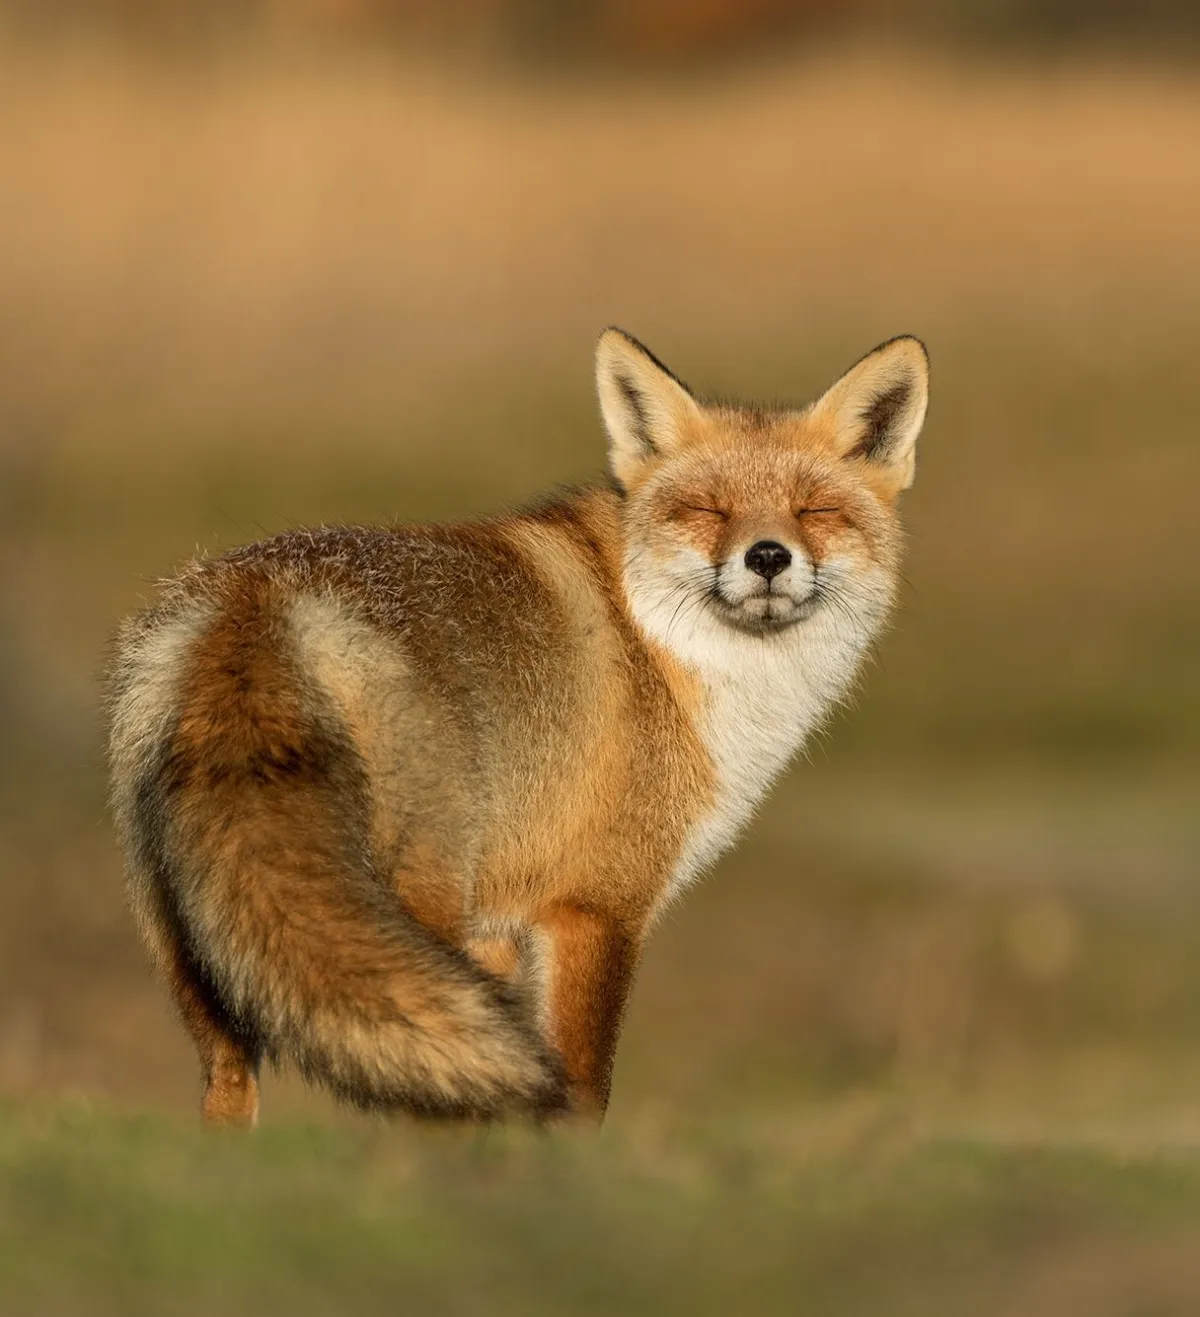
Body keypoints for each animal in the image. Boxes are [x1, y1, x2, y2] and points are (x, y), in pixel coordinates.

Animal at [107, 329, 929, 1128]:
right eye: (708, 508)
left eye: (814, 510)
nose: (767, 556)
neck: (667, 655)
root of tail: (259, 597)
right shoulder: (594, 907)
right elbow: (582, 1091)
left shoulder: (500, 929)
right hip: (415, 902)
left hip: (189, 936)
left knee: (231, 1086)